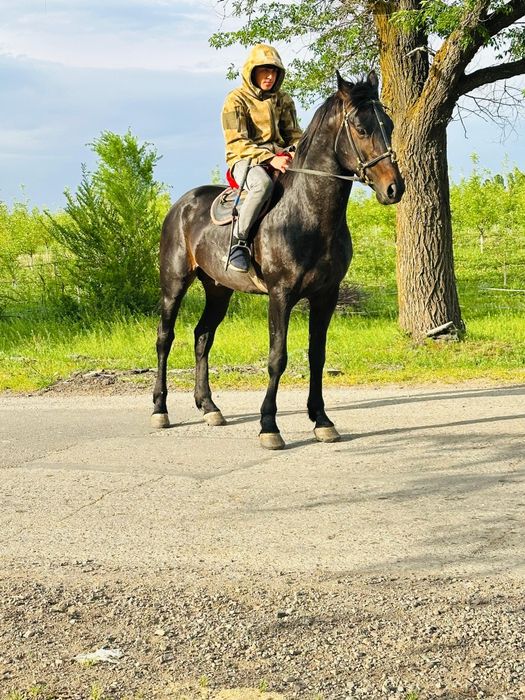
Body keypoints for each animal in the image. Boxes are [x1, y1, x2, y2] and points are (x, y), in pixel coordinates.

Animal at [151, 70, 404, 449]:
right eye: (361, 128)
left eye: (388, 124)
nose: (394, 188)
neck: (307, 215)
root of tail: (182, 204)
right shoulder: (280, 295)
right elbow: (277, 358)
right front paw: (269, 426)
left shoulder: (326, 296)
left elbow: (317, 355)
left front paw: (322, 420)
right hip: (174, 284)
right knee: (165, 339)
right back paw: (160, 409)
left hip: (218, 289)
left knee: (202, 336)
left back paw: (209, 407)